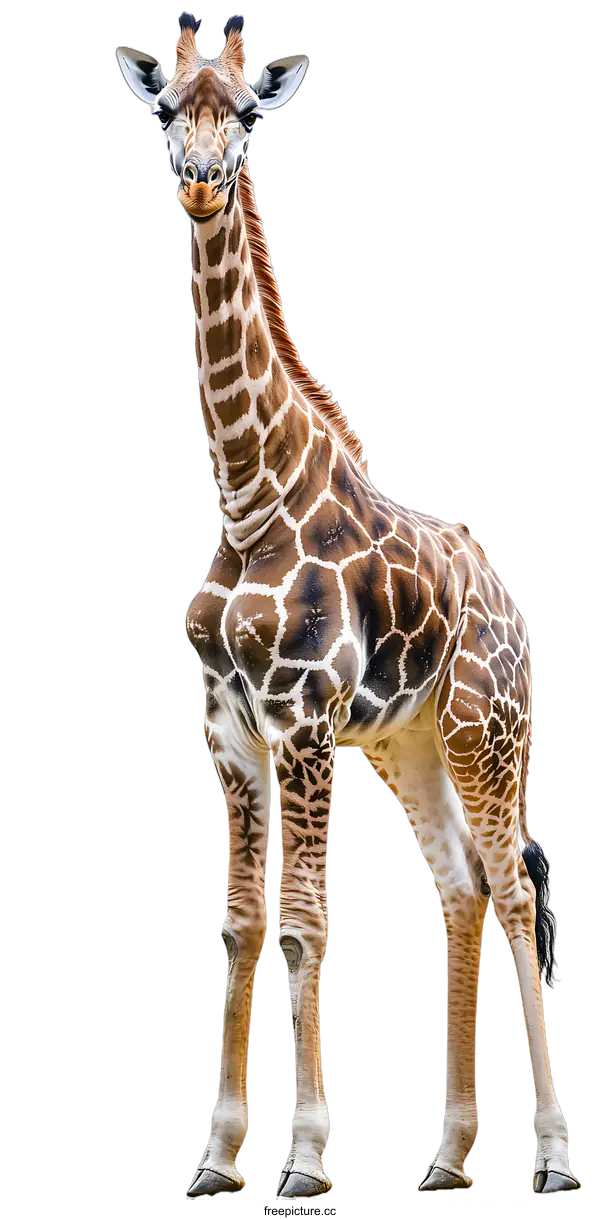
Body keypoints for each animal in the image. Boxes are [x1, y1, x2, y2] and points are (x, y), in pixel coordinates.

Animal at [116, 13, 582, 1201]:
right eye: (164, 109)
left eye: (245, 112)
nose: (198, 183)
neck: (248, 488)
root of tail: (515, 610)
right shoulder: (230, 733)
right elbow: (242, 928)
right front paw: (217, 1159)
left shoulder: (305, 723)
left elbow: (305, 927)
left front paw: (309, 1163)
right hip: (412, 745)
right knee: (460, 890)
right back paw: (451, 1164)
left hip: (484, 734)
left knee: (516, 893)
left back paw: (554, 1160)